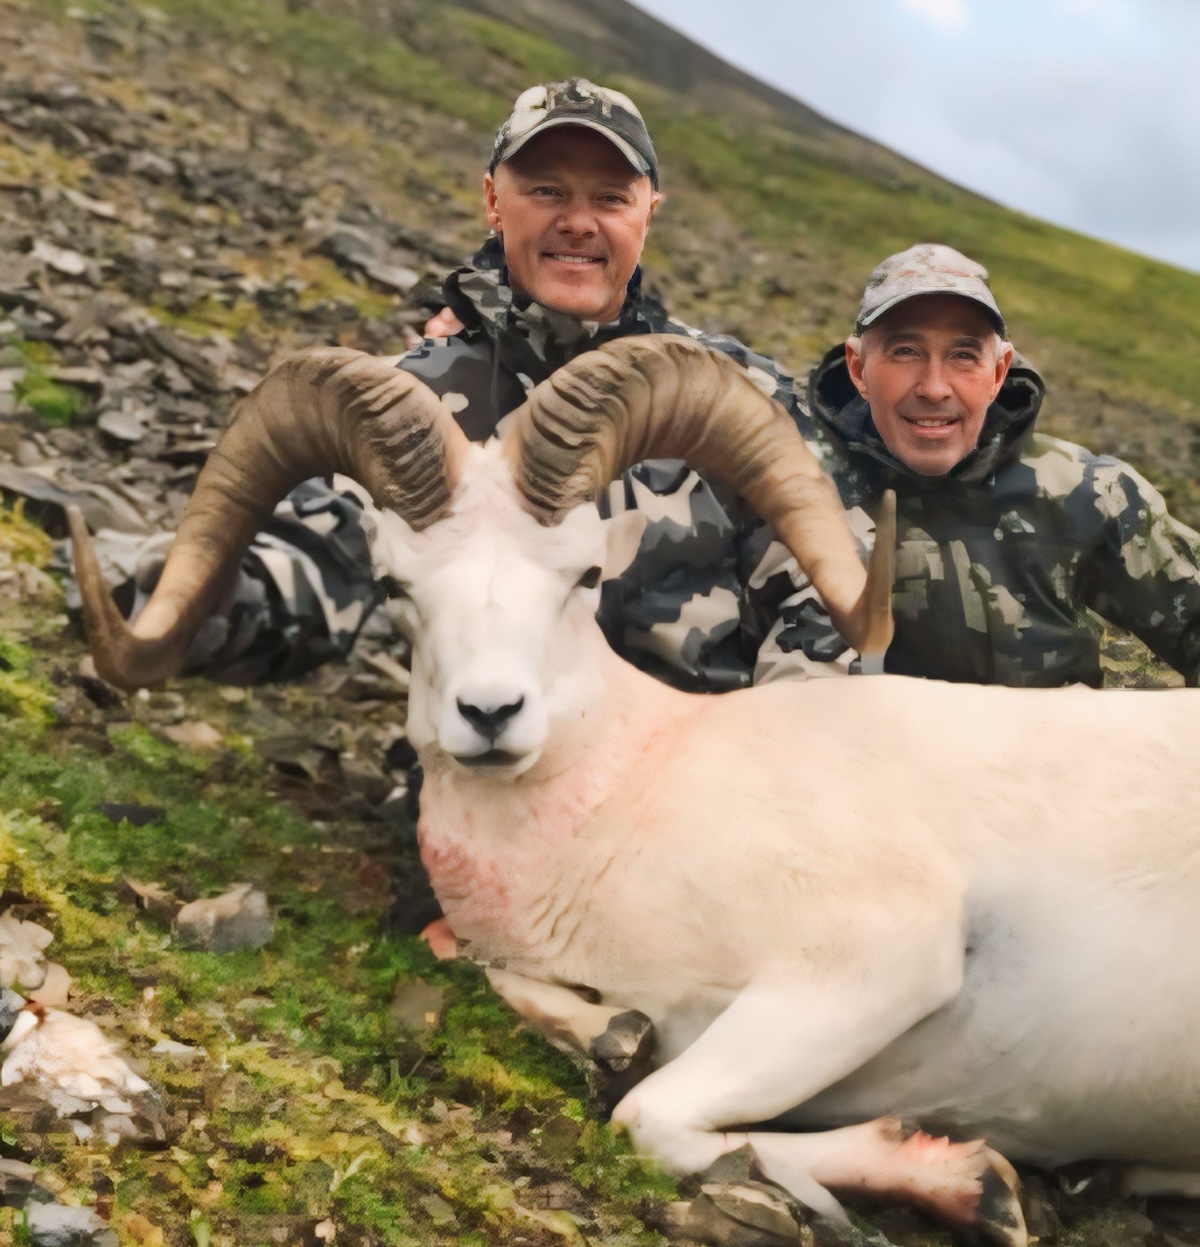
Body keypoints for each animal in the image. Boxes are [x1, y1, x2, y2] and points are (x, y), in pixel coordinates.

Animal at [70, 336, 1197, 1242]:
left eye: (580, 575)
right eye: (397, 586)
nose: (489, 714)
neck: (626, 803)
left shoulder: (873, 967)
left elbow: (648, 1115)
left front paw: (968, 1184)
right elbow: (581, 1030)